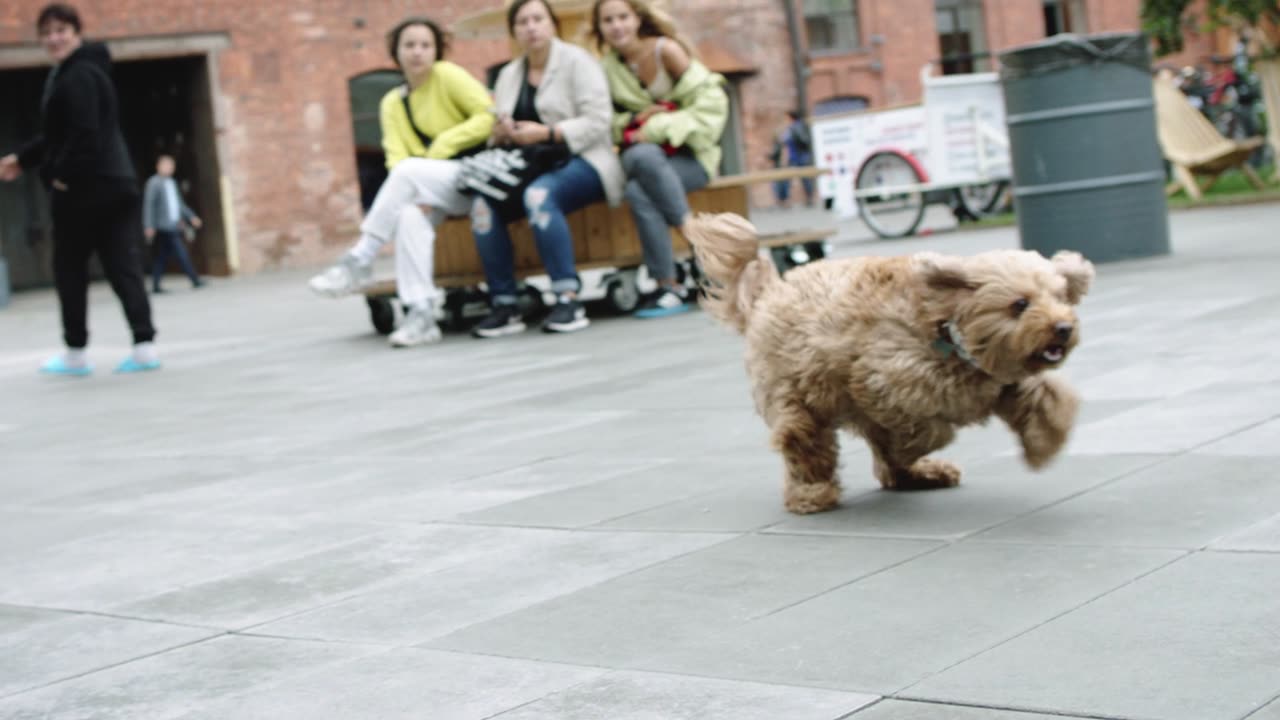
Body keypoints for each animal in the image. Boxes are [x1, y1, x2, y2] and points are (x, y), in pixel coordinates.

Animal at [686, 210, 1095, 512]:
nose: (1063, 328)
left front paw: (1043, 443)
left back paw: (922, 474)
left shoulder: (1003, 383)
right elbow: (928, 429)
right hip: (797, 395)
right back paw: (812, 494)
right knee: (804, 442)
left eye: (1060, 297)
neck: (948, 330)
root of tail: (768, 291)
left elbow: (1046, 400)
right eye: (1020, 304)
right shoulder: (883, 381)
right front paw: (907, 447)